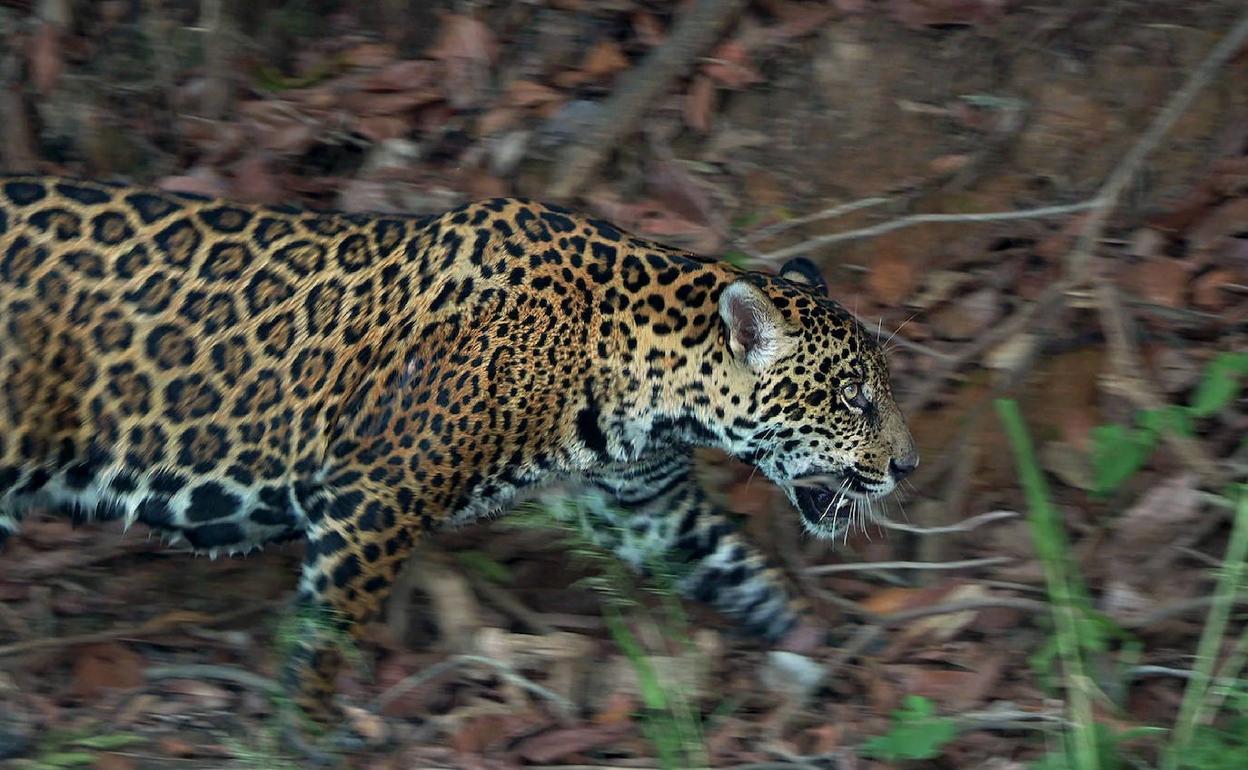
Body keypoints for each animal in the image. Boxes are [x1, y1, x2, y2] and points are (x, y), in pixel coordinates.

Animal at [0, 174, 917, 738]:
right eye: (853, 397)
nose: (907, 467)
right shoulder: (375, 495)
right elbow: (330, 626)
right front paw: (305, 730)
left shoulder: (644, 501)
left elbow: (730, 563)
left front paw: (812, 641)